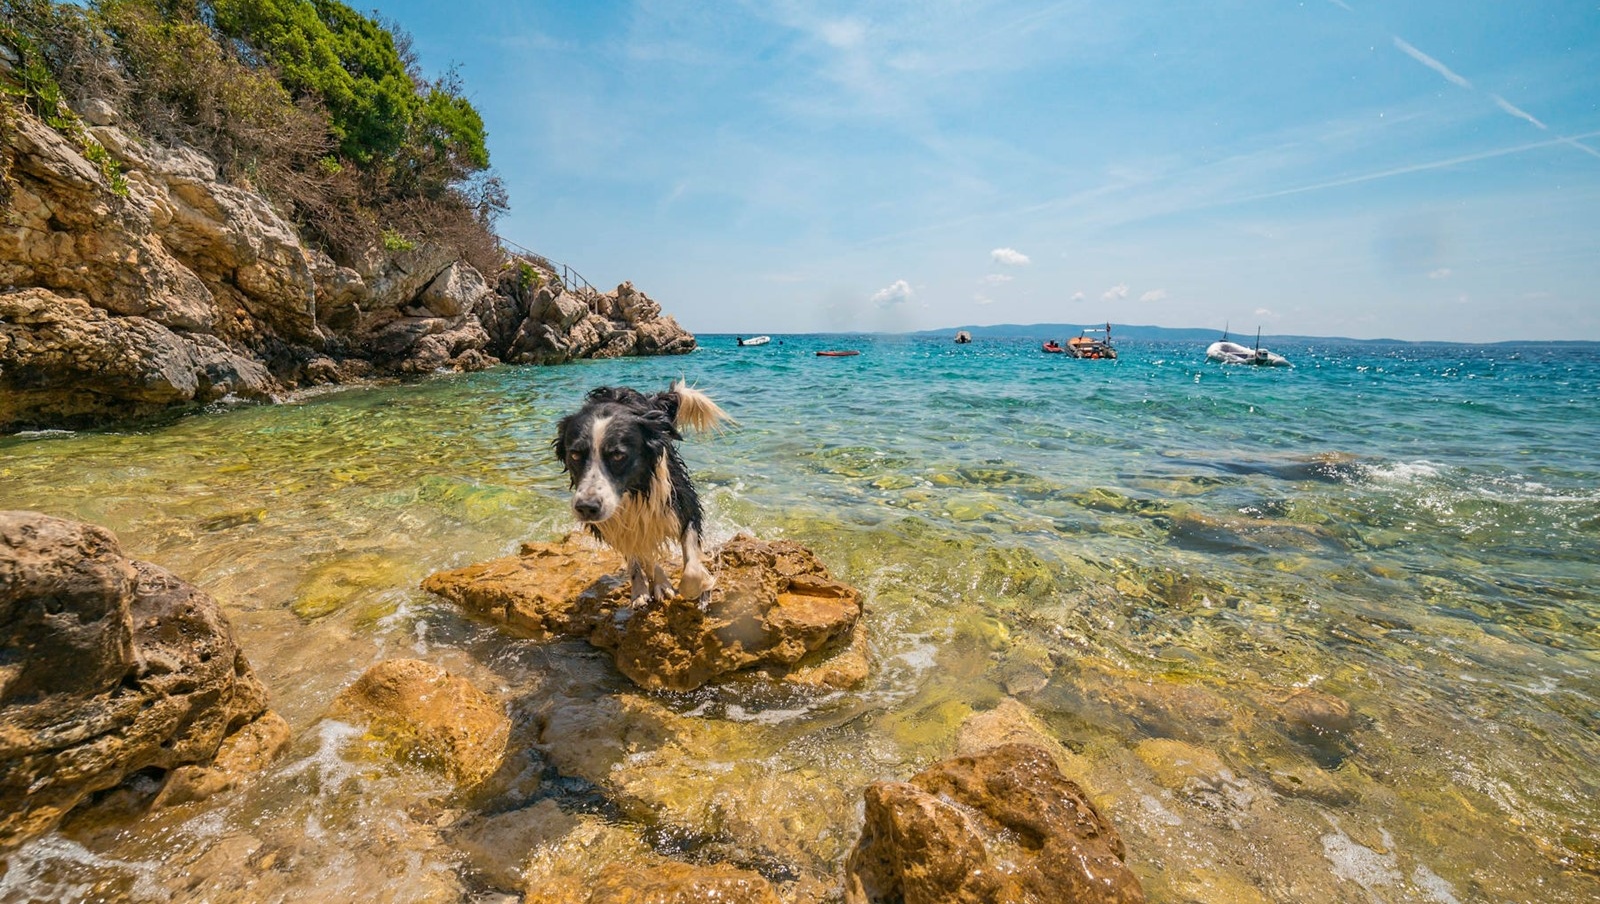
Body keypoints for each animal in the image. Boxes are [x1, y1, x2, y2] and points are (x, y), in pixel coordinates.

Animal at [553, 380, 732, 604]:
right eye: (575, 455)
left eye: (618, 455)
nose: (586, 508)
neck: (634, 490)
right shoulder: (615, 524)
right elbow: (639, 555)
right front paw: (648, 587)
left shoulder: (683, 505)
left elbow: (691, 571)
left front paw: (702, 587)